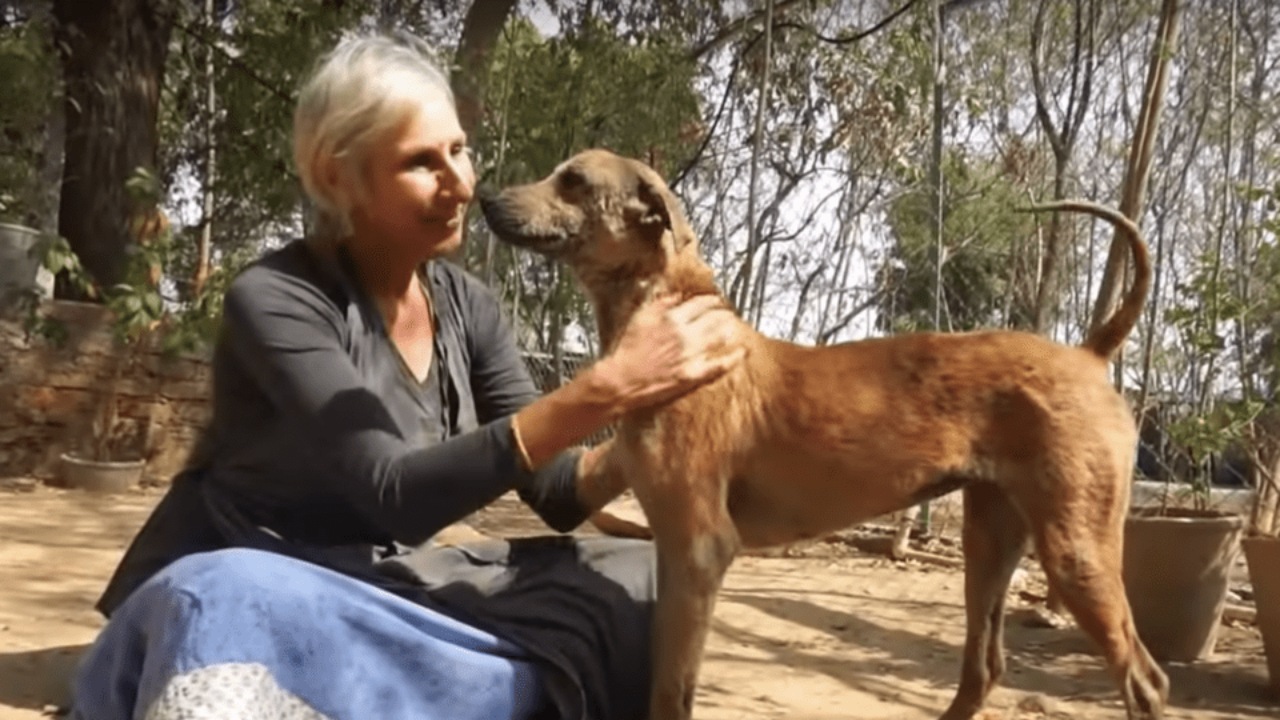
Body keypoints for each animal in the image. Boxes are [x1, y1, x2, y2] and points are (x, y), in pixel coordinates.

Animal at [478, 147, 1162, 717]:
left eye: (573, 182)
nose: (484, 196)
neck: (671, 316)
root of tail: (1089, 354)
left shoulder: (700, 548)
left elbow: (670, 693)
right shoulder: (673, 551)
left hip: (1075, 550)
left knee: (1145, 682)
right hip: (991, 540)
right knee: (984, 669)